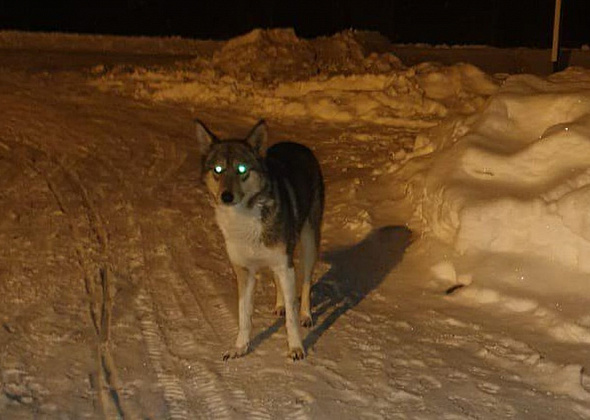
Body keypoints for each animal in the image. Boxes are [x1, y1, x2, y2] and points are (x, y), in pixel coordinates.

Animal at [199, 119, 328, 360]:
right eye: (218, 170)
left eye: (242, 169)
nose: (226, 196)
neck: (245, 217)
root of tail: (297, 145)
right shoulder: (244, 270)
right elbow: (244, 315)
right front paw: (240, 347)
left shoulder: (285, 264)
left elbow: (291, 318)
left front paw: (296, 347)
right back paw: (280, 305)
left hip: (308, 242)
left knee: (306, 283)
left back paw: (306, 314)